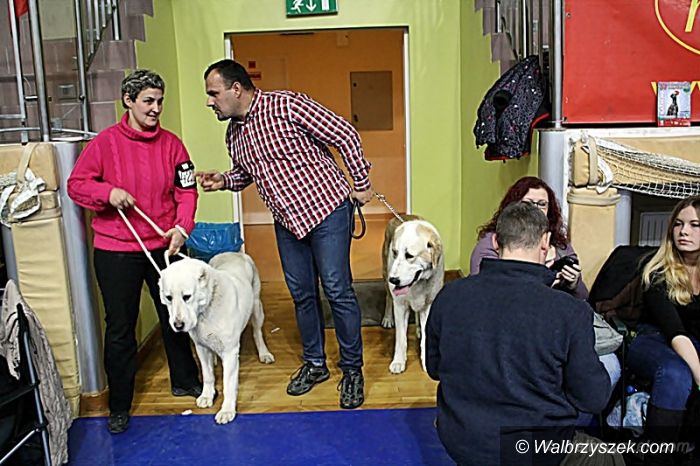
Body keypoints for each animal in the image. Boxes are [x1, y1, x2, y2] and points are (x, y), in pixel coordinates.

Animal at [158, 252, 275, 424]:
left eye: (187, 296)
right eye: (168, 297)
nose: (178, 325)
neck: (206, 310)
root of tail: (234, 253)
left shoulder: (230, 353)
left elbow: (228, 384)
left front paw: (227, 410)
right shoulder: (201, 348)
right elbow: (208, 375)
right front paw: (207, 396)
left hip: (256, 307)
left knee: (257, 332)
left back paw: (264, 353)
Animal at [382, 217, 444, 374]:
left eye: (409, 256)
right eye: (395, 253)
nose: (393, 279)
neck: (418, 282)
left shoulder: (429, 305)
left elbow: (426, 337)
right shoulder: (400, 306)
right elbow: (401, 339)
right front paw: (398, 361)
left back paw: (418, 329)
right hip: (385, 273)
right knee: (388, 297)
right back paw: (387, 319)